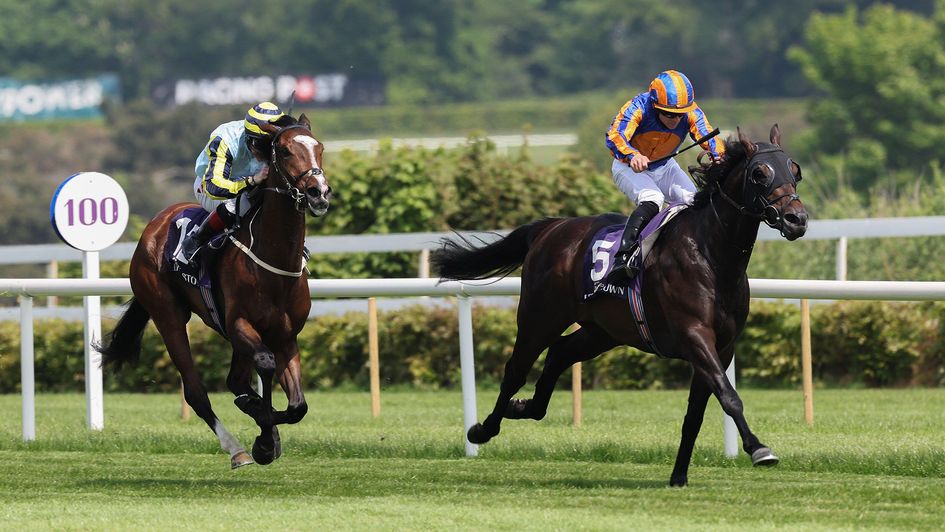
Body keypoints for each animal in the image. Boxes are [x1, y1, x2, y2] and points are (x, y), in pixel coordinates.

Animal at [95, 113, 330, 470]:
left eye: (320, 148)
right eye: (286, 151)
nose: (319, 192)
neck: (273, 261)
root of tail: (155, 225)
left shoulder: (285, 336)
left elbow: (297, 407)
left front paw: (267, 432)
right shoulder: (239, 323)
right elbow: (265, 368)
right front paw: (263, 436)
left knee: (236, 380)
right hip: (168, 316)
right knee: (196, 392)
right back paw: (237, 450)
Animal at [432, 124, 808, 486]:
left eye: (794, 170)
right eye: (759, 173)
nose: (797, 219)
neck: (712, 256)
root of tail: (551, 228)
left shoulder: (723, 345)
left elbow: (696, 413)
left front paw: (678, 476)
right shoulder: (694, 336)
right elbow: (729, 396)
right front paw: (758, 449)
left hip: (602, 331)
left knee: (559, 353)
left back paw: (524, 406)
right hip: (540, 317)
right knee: (516, 370)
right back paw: (483, 429)